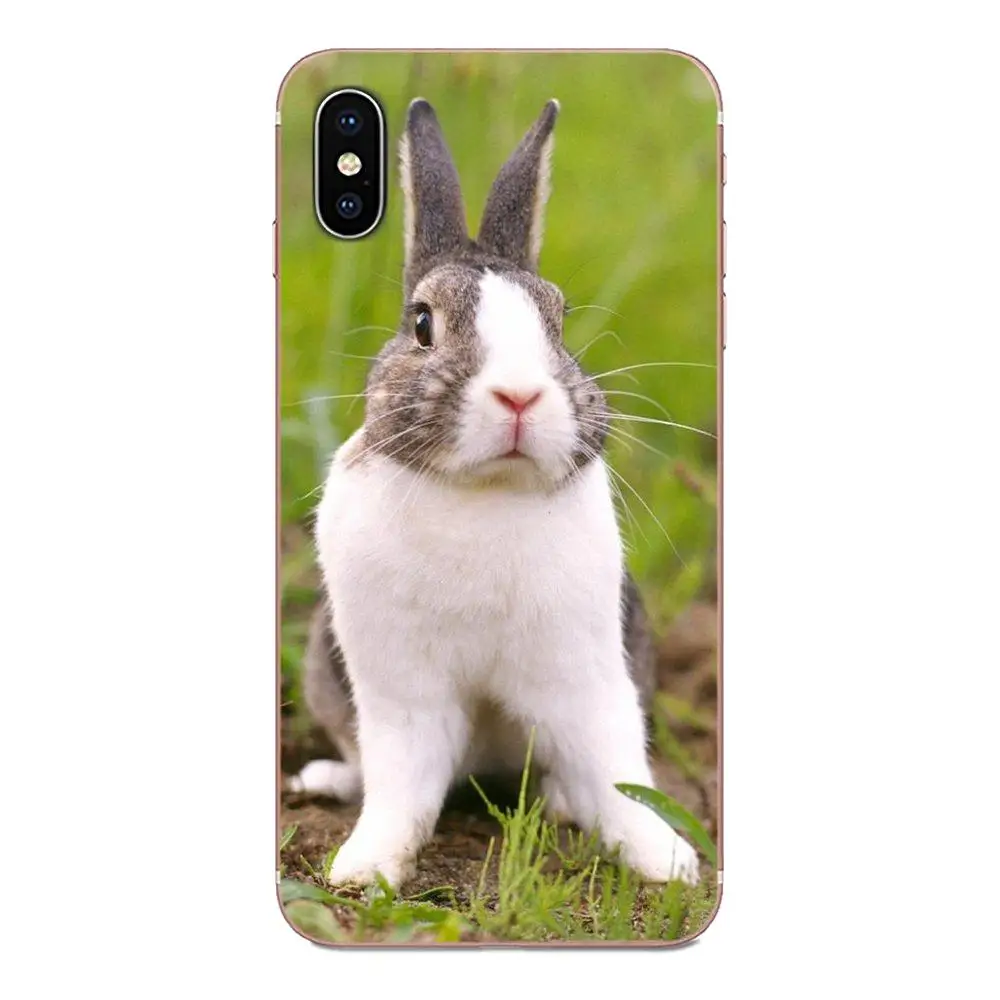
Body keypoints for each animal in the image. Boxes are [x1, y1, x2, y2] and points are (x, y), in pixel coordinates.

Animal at [287, 98, 700, 889]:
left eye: (559, 322)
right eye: (423, 324)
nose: (519, 395)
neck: (483, 492)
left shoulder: (583, 676)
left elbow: (615, 771)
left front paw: (669, 860)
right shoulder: (401, 691)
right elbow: (403, 784)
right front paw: (365, 867)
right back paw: (324, 779)